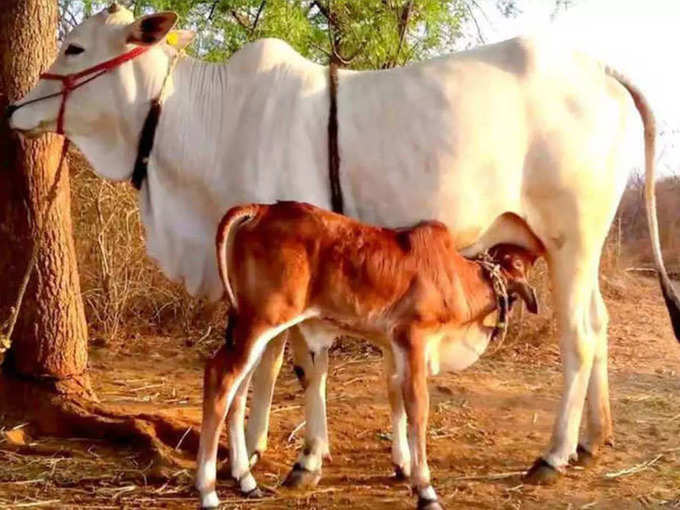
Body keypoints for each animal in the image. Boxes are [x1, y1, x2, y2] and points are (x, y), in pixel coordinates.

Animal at [194, 201, 540, 508]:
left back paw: (246, 480)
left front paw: (403, 468)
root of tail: (261, 210)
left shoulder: (395, 347)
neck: (456, 276)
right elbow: (418, 410)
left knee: (238, 392)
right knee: (221, 378)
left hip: (251, 328)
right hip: (263, 321)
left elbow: (396, 398)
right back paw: (208, 492)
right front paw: (426, 491)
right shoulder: (413, 339)